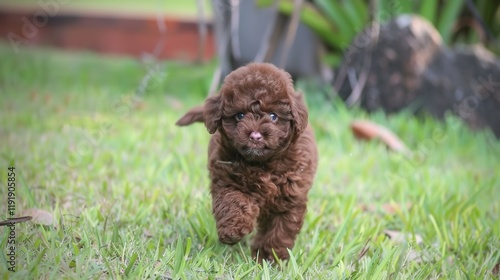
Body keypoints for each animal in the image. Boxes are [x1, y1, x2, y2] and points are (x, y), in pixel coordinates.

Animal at [176, 62, 316, 262]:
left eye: (273, 116)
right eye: (240, 115)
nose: (255, 135)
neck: (262, 164)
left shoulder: (291, 196)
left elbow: (280, 229)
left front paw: (269, 258)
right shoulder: (225, 177)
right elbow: (233, 201)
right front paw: (232, 230)